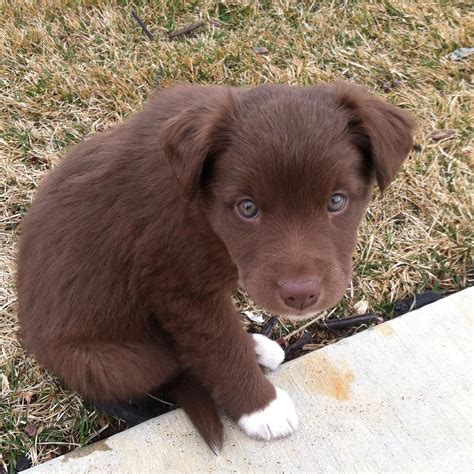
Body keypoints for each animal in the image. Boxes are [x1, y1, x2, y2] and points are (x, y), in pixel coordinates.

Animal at [15, 82, 414, 452]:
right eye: (247, 208)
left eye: (336, 201)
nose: (300, 295)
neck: (202, 209)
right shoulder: (179, 287)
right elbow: (220, 345)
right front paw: (261, 409)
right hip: (103, 361)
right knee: (171, 362)